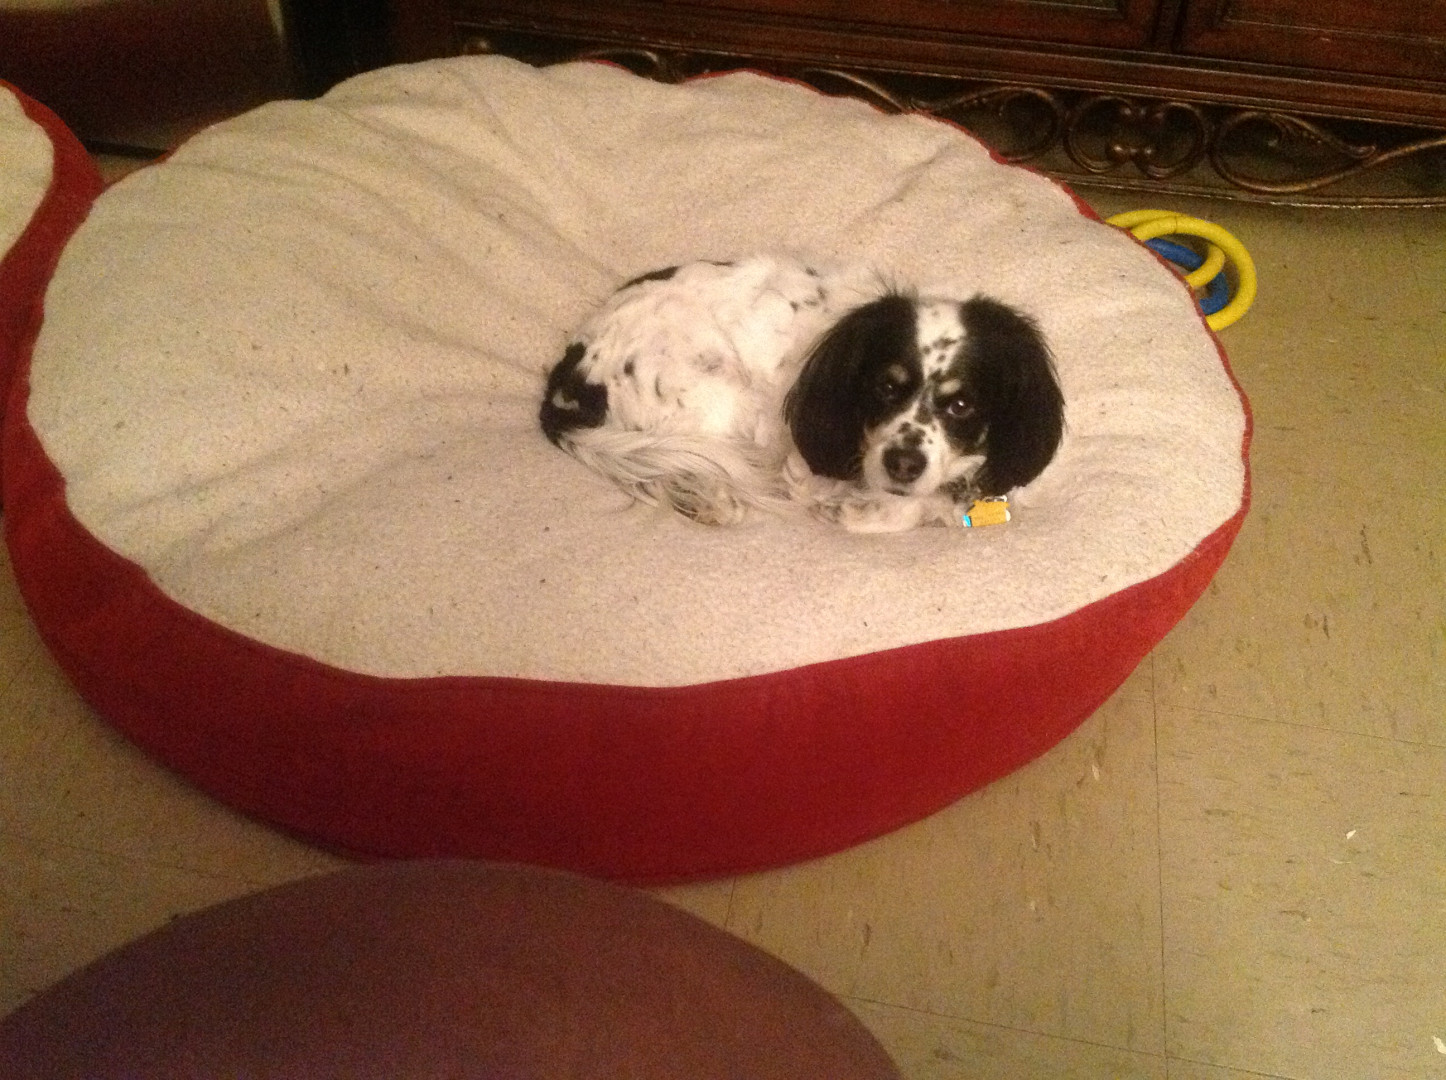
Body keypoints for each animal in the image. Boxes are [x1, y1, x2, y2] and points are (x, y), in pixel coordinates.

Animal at [540, 255, 1064, 532]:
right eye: (884, 387)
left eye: (961, 405)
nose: (903, 464)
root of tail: (570, 370)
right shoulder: (802, 464)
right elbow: (874, 512)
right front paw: (864, 507)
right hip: (724, 399)